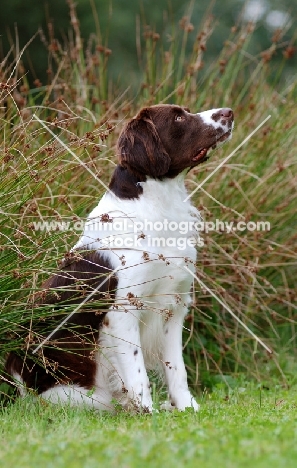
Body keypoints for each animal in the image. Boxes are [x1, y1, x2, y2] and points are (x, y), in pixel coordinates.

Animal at [3, 104, 232, 412]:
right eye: (178, 117)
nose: (229, 112)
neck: (158, 205)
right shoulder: (122, 311)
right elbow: (138, 372)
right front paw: (147, 412)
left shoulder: (174, 305)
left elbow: (177, 368)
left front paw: (185, 408)